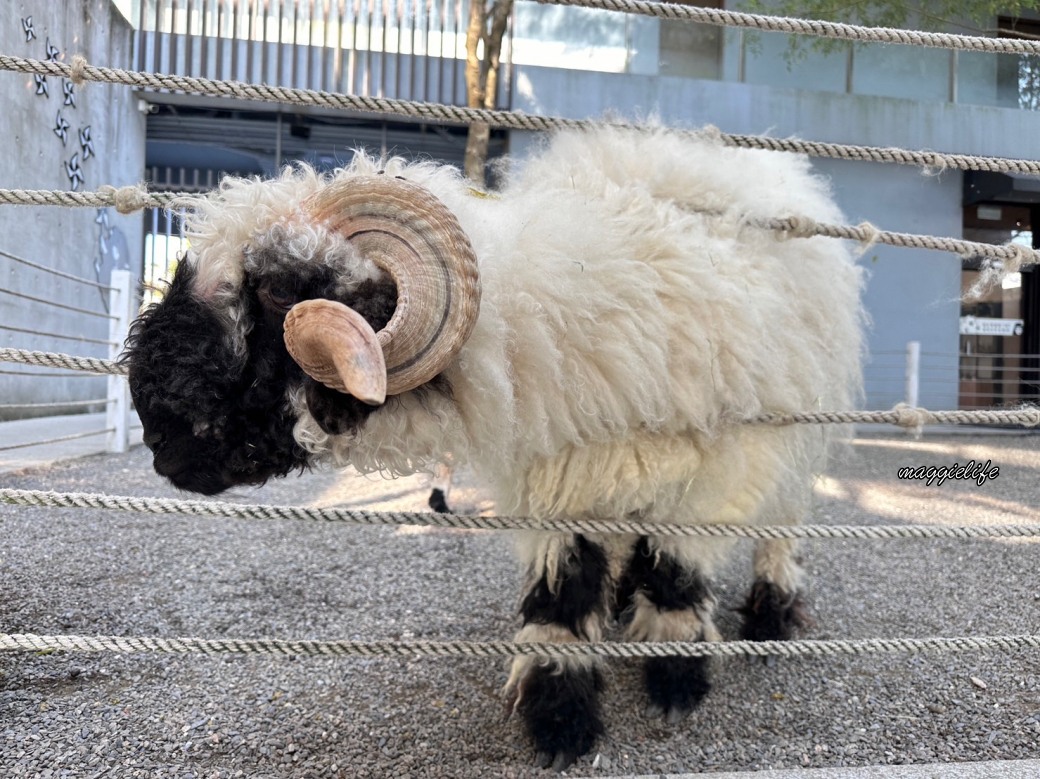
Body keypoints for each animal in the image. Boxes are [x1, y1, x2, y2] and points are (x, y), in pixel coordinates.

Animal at [125, 124, 865, 769]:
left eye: (277, 289)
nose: (157, 438)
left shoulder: (714, 479)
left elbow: (679, 578)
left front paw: (675, 684)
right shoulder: (562, 485)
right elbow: (564, 600)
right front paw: (560, 720)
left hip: (799, 431)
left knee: (784, 522)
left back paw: (771, 615)